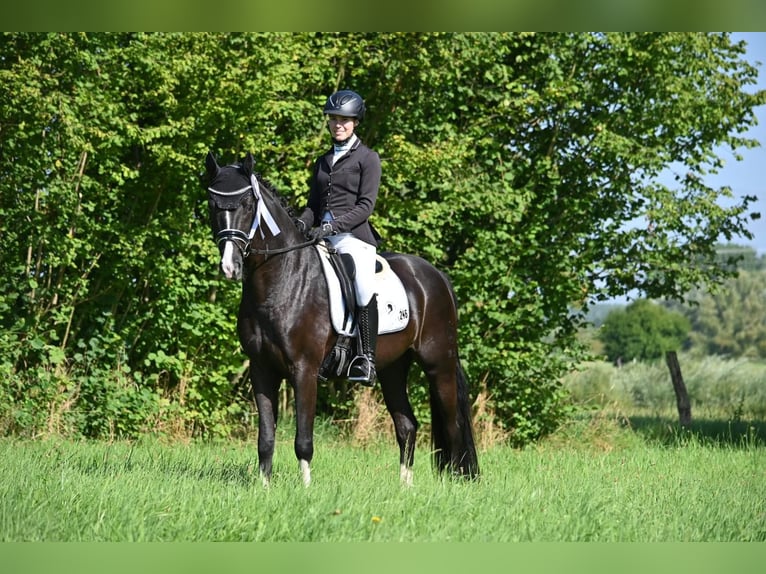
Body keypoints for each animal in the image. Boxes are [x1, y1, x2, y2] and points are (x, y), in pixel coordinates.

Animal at [204, 151, 478, 486]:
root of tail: (436, 276)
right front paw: (264, 487)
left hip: (438, 362)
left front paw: (305, 488)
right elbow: (265, 438)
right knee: (407, 425)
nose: (229, 267)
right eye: (212, 204)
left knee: (452, 424)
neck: (283, 280)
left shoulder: (304, 369)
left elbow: (303, 439)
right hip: (392, 368)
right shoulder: (261, 369)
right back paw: (405, 486)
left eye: (245, 204)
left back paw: (456, 482)